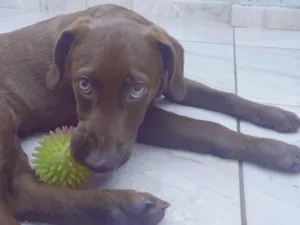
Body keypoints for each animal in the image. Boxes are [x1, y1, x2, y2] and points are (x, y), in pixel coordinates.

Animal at [0, 3, 300, 225]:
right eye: (83, 84)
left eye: (136, 89)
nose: (98, 163)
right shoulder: (147, 123)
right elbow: (210, 129)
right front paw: (277, 150)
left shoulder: (172, 82)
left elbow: (223, 96)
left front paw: (276, 115)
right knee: (19, 196)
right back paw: (128, 205)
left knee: (24, 191)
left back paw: (129, 209)